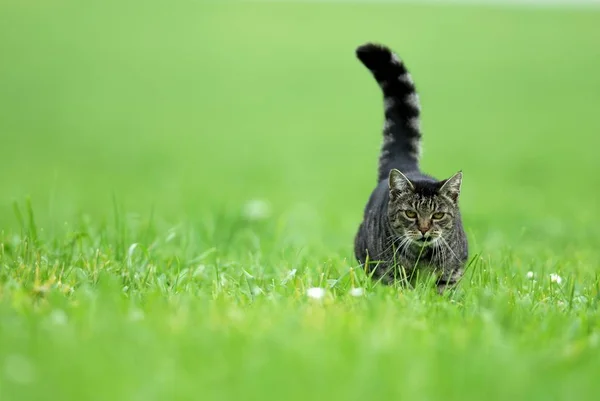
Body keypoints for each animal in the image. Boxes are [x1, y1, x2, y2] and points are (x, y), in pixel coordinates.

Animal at [352, 43, 468, 294]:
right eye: (410, 213)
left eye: (438, 215)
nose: (424, 229)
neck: (422, 255)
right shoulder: (389, 271)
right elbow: (401, 288)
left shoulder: (455, 266)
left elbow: (444, 288)